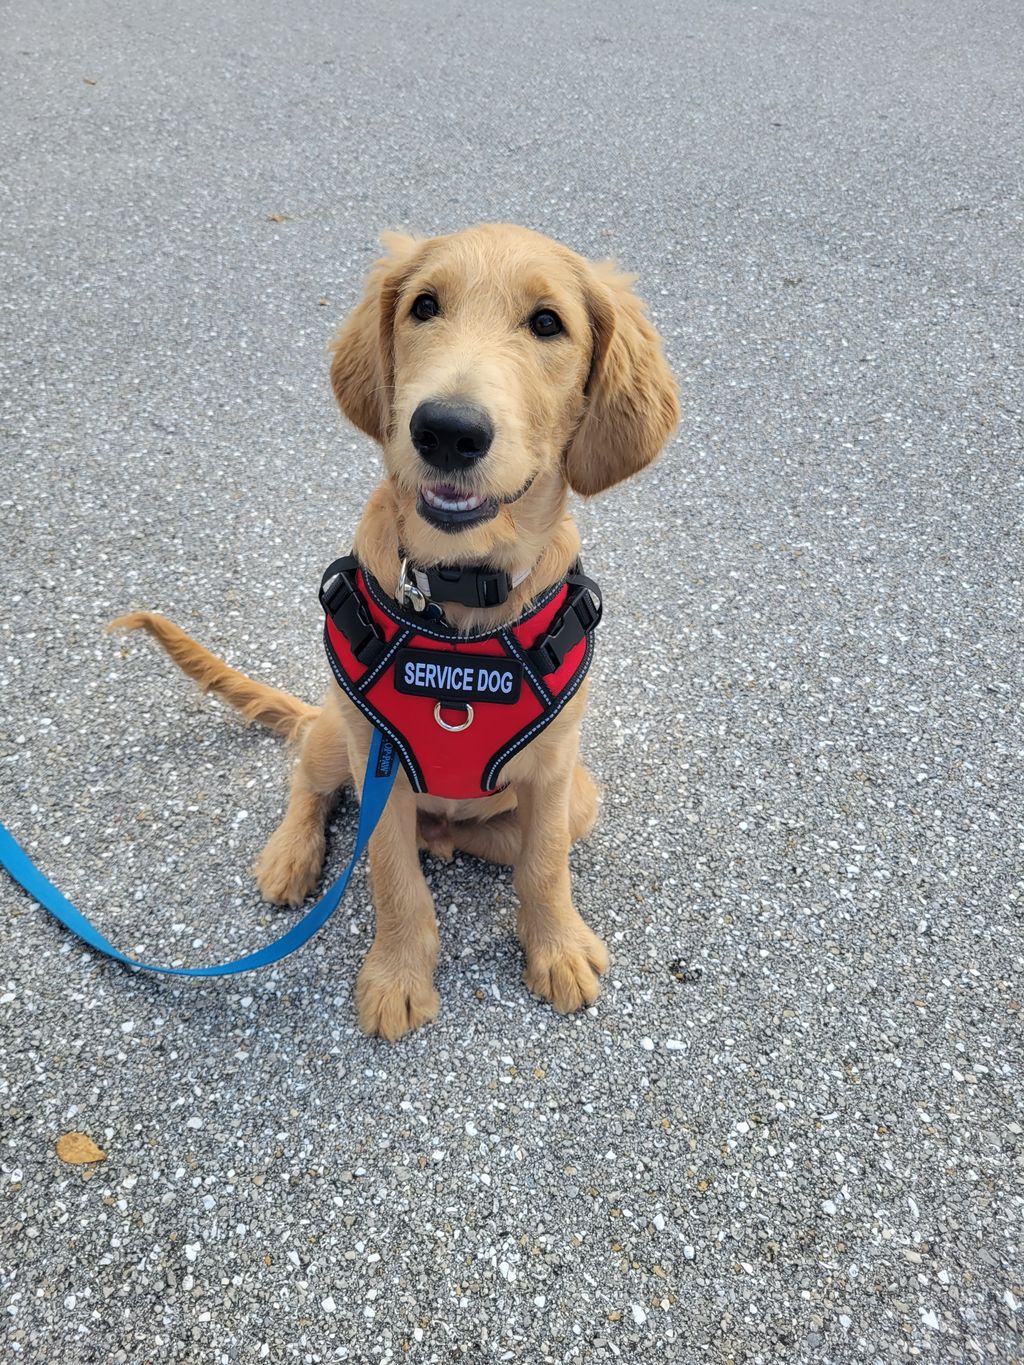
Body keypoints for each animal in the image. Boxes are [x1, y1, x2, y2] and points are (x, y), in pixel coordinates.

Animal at [111, 223, 677, 1037]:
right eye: (425, 306)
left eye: (548, 323)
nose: (447, 430)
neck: (458, 597)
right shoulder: (378, 755)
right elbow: (389, 872)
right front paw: (398, 976)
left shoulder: (554, 769)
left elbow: (543, 864)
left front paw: (557, 948)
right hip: (332, 726)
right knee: (309, 782)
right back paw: (291, 855)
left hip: (579, 798)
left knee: (480, 838)